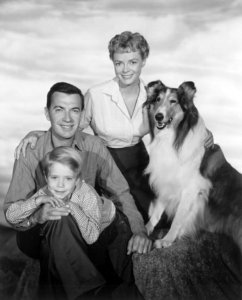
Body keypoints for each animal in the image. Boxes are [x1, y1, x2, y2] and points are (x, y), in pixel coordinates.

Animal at [145, 80, 241, 251]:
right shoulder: (166, 179)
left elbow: (178, 218)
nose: (158, 116)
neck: (174, 138)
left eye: (173, 101)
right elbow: (157, 210)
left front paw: (167, 239)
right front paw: (146, 228)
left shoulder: (191, 189)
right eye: (157, 99)